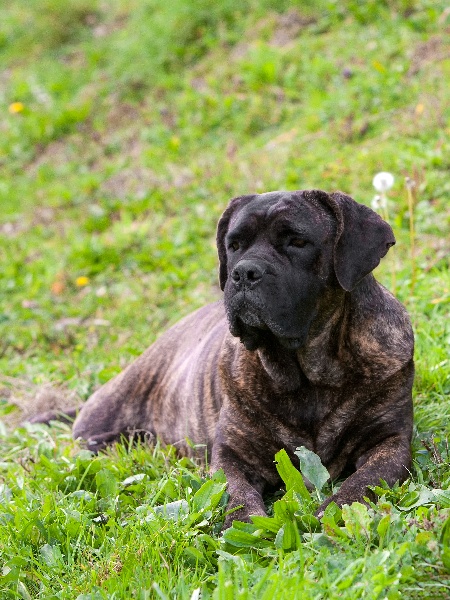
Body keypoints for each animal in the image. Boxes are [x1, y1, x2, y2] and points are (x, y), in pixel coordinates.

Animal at [30, 190, 414, 524]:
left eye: (296, 241)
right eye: (234, 245)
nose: (244, 272)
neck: (307, 375)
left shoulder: (390, 441)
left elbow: (364, 481)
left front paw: (335, 511)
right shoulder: (232, 454)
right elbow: (235, 493)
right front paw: (247, 524)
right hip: (98, 428)